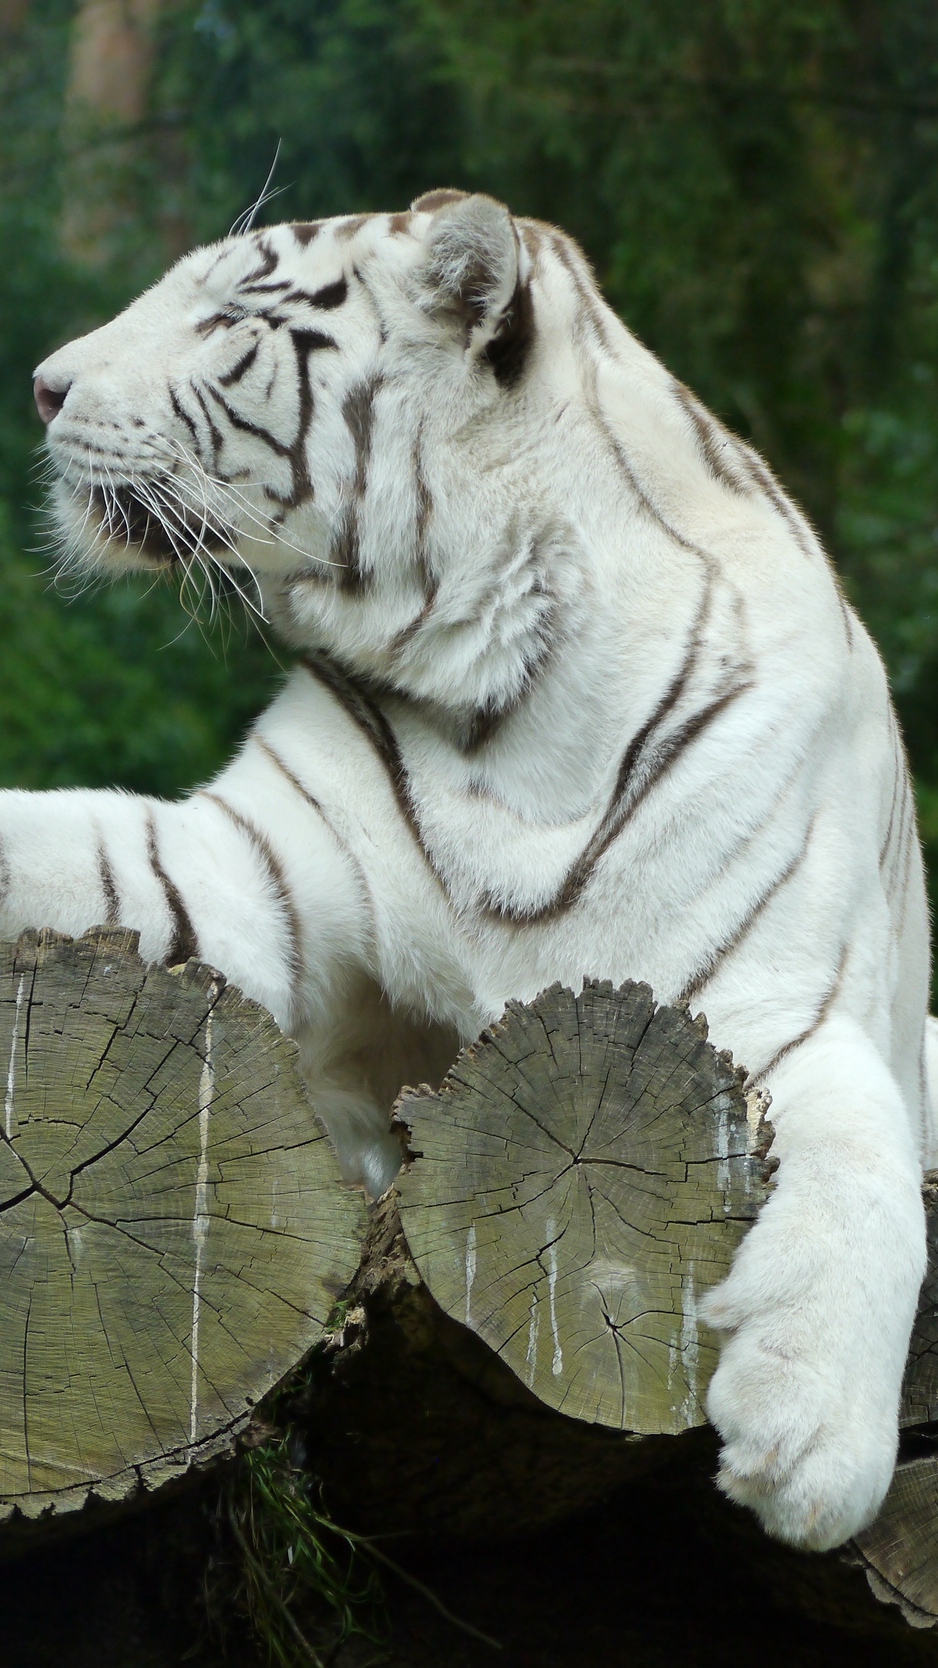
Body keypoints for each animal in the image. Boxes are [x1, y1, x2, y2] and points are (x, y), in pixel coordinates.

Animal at [7, 188, 932, 1552]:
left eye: (226, 318)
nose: (42, 385)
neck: (504, 693)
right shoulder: (246, 872)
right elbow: (71, 853)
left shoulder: (787, 997)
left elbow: (868, 1162)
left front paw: (810, 1446)